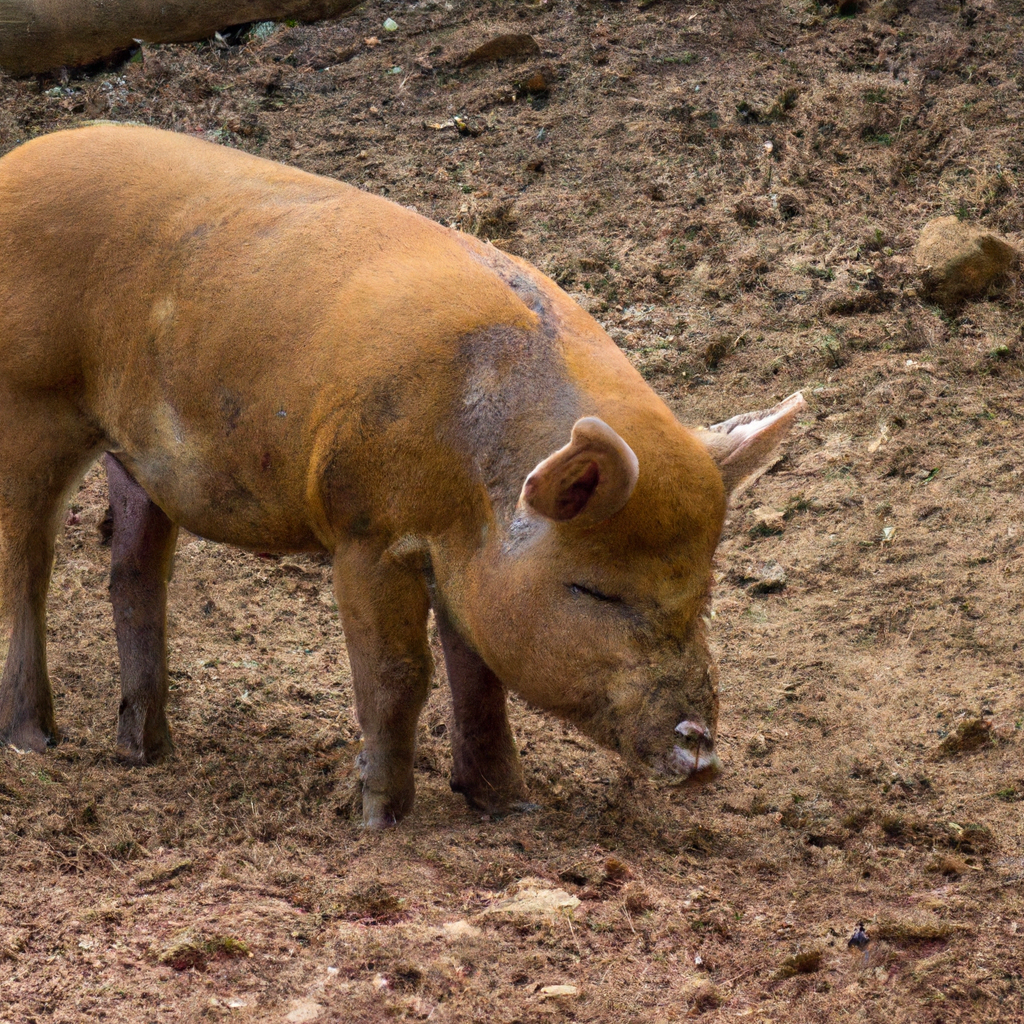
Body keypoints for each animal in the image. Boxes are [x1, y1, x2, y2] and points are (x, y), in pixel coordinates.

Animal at [0, 123, 802, 827]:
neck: (474, 482)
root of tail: (16, 163)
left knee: (132, 576)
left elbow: (479, 674)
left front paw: (509, 807)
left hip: (131, 456)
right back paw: (36, 740)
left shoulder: (459, 563)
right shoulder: (364, 526)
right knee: (27, 565)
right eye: (594, 590)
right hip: (30, 404)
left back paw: (147, 753)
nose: (701, 755)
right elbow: (398, 673)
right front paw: (379, 819)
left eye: (704, 592)